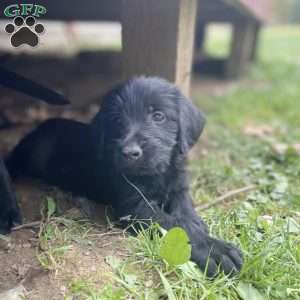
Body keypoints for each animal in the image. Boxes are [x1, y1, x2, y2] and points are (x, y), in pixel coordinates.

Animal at [6, 77, 244, 276]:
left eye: (158, 116)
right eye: (118, 120)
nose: (130, 152)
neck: (157, 173)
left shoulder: (179, 186)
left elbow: (184, 208)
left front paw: (194, 221)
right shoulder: (135, 207)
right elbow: (172, 223)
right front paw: (213, 249)